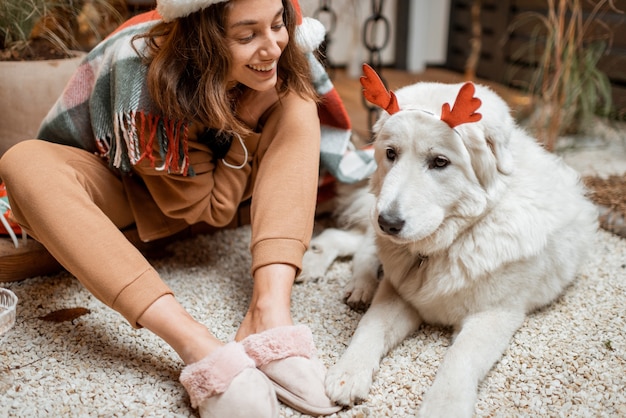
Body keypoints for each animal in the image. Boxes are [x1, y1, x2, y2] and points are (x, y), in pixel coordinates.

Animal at [304, 67, 596, 416]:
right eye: (390, 154)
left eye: (440, 162)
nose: (388, 223)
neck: (451, 242)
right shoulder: (397, 293)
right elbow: (370, 328)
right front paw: (348, 372)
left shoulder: (493, 315)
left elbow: (460, 358)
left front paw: (443, 406)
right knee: (356, 245)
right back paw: (341, 276)